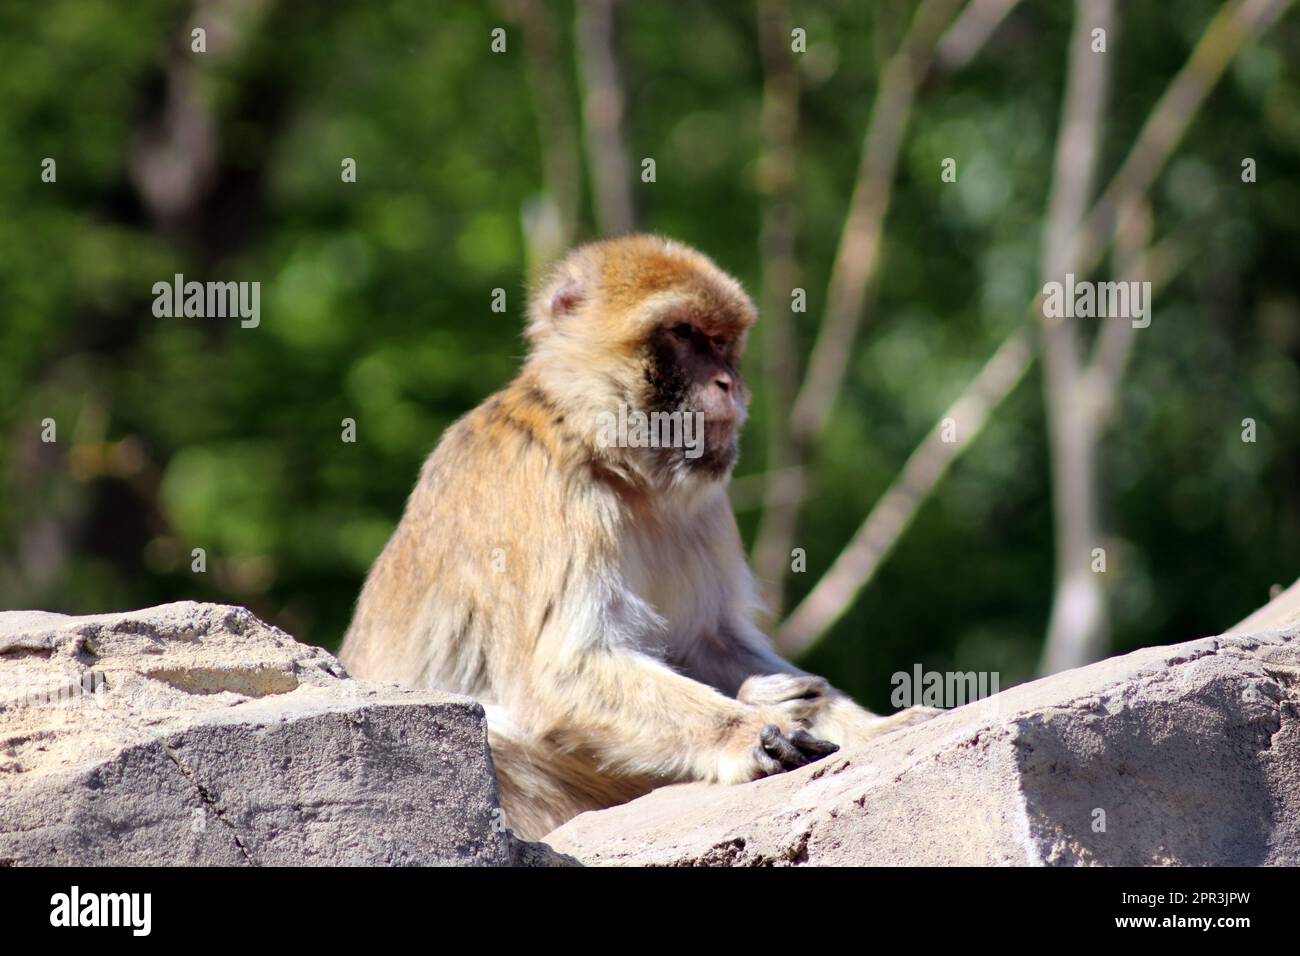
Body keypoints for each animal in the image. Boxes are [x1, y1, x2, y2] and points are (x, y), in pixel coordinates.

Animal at [340, 235, 941, 842]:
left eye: (721, 341)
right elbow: (565, 674)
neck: (612, 458)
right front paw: (748, 732)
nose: (730, 384)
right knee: (498, 734)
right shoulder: (545, 488)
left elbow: (709, 639)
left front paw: (864, 722)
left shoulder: (707, 504)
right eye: (682, 332)